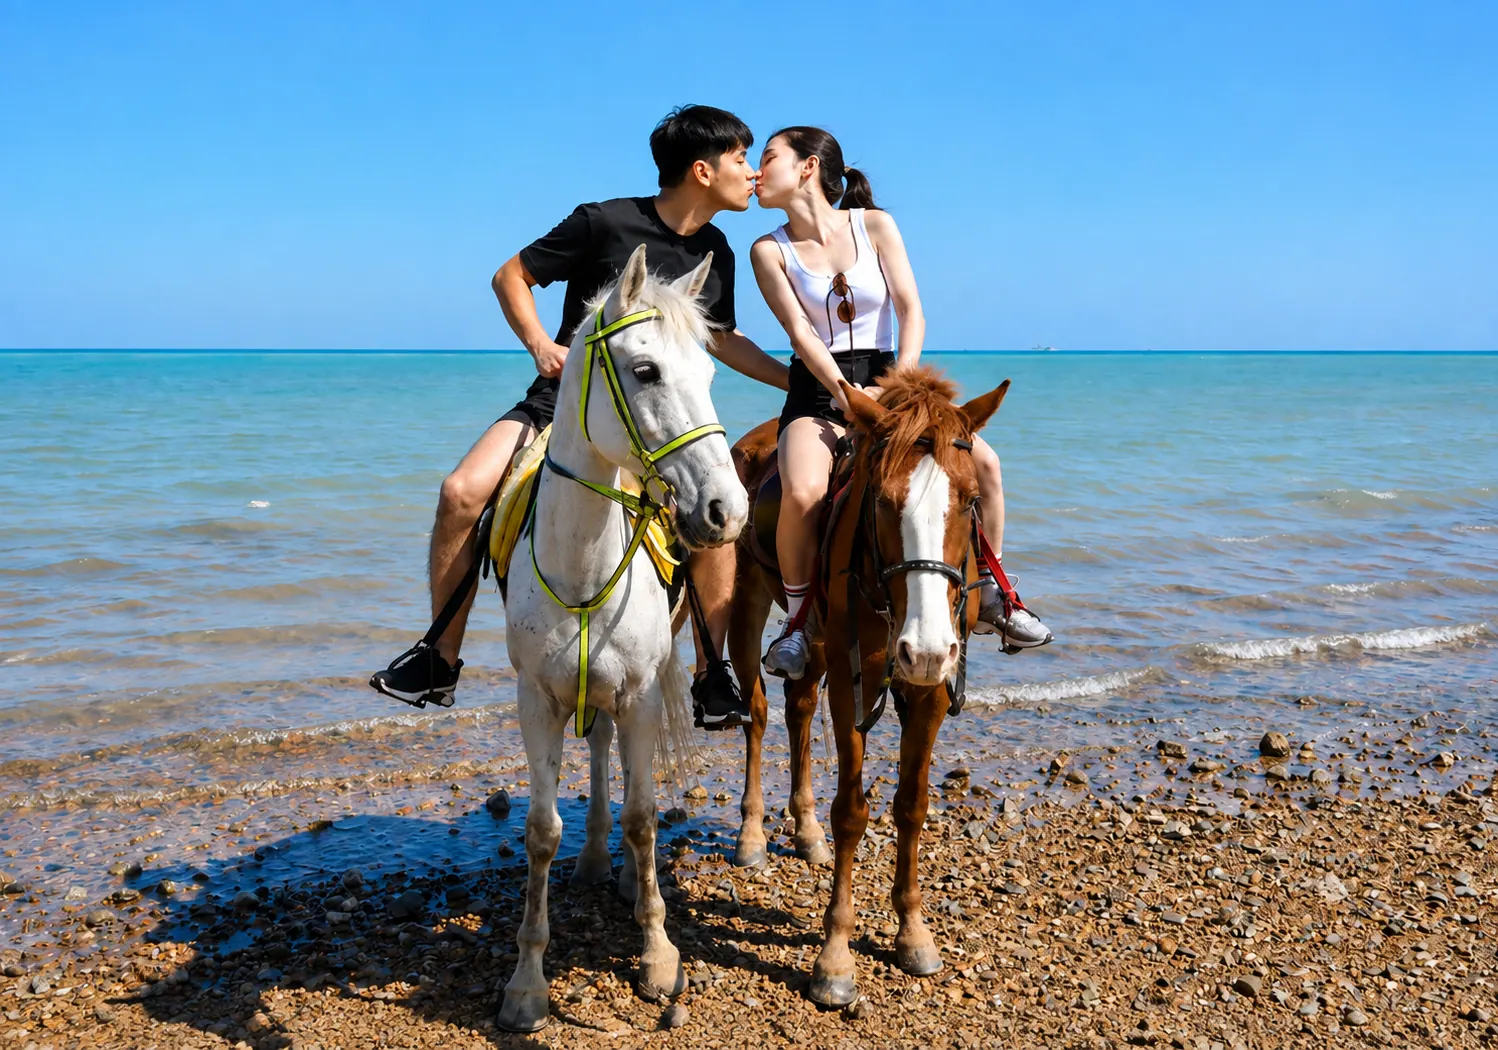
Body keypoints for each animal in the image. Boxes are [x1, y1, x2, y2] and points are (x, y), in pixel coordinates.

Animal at [497, 244, 749, 1032]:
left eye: (710, 374)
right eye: (645, 371)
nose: (728, 510)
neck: (583, 563)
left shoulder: (639, 695)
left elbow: (643, 820)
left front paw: (659, 956)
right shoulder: (536, 702)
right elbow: (540, 832)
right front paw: (525, 983)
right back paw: (590, 861)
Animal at [724, 366, 1008, 1006]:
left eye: (971, 500)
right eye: (882, 502)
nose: (924, 650)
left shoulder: (929, 692)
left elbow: (912, 804)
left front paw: (914, 933)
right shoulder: (853, 682)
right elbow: (852, 813)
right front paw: (834, 958)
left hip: (819, 646)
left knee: (798, 706)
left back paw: (805, 832)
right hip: (745, 603)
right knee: (757, 711)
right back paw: (752, 835)